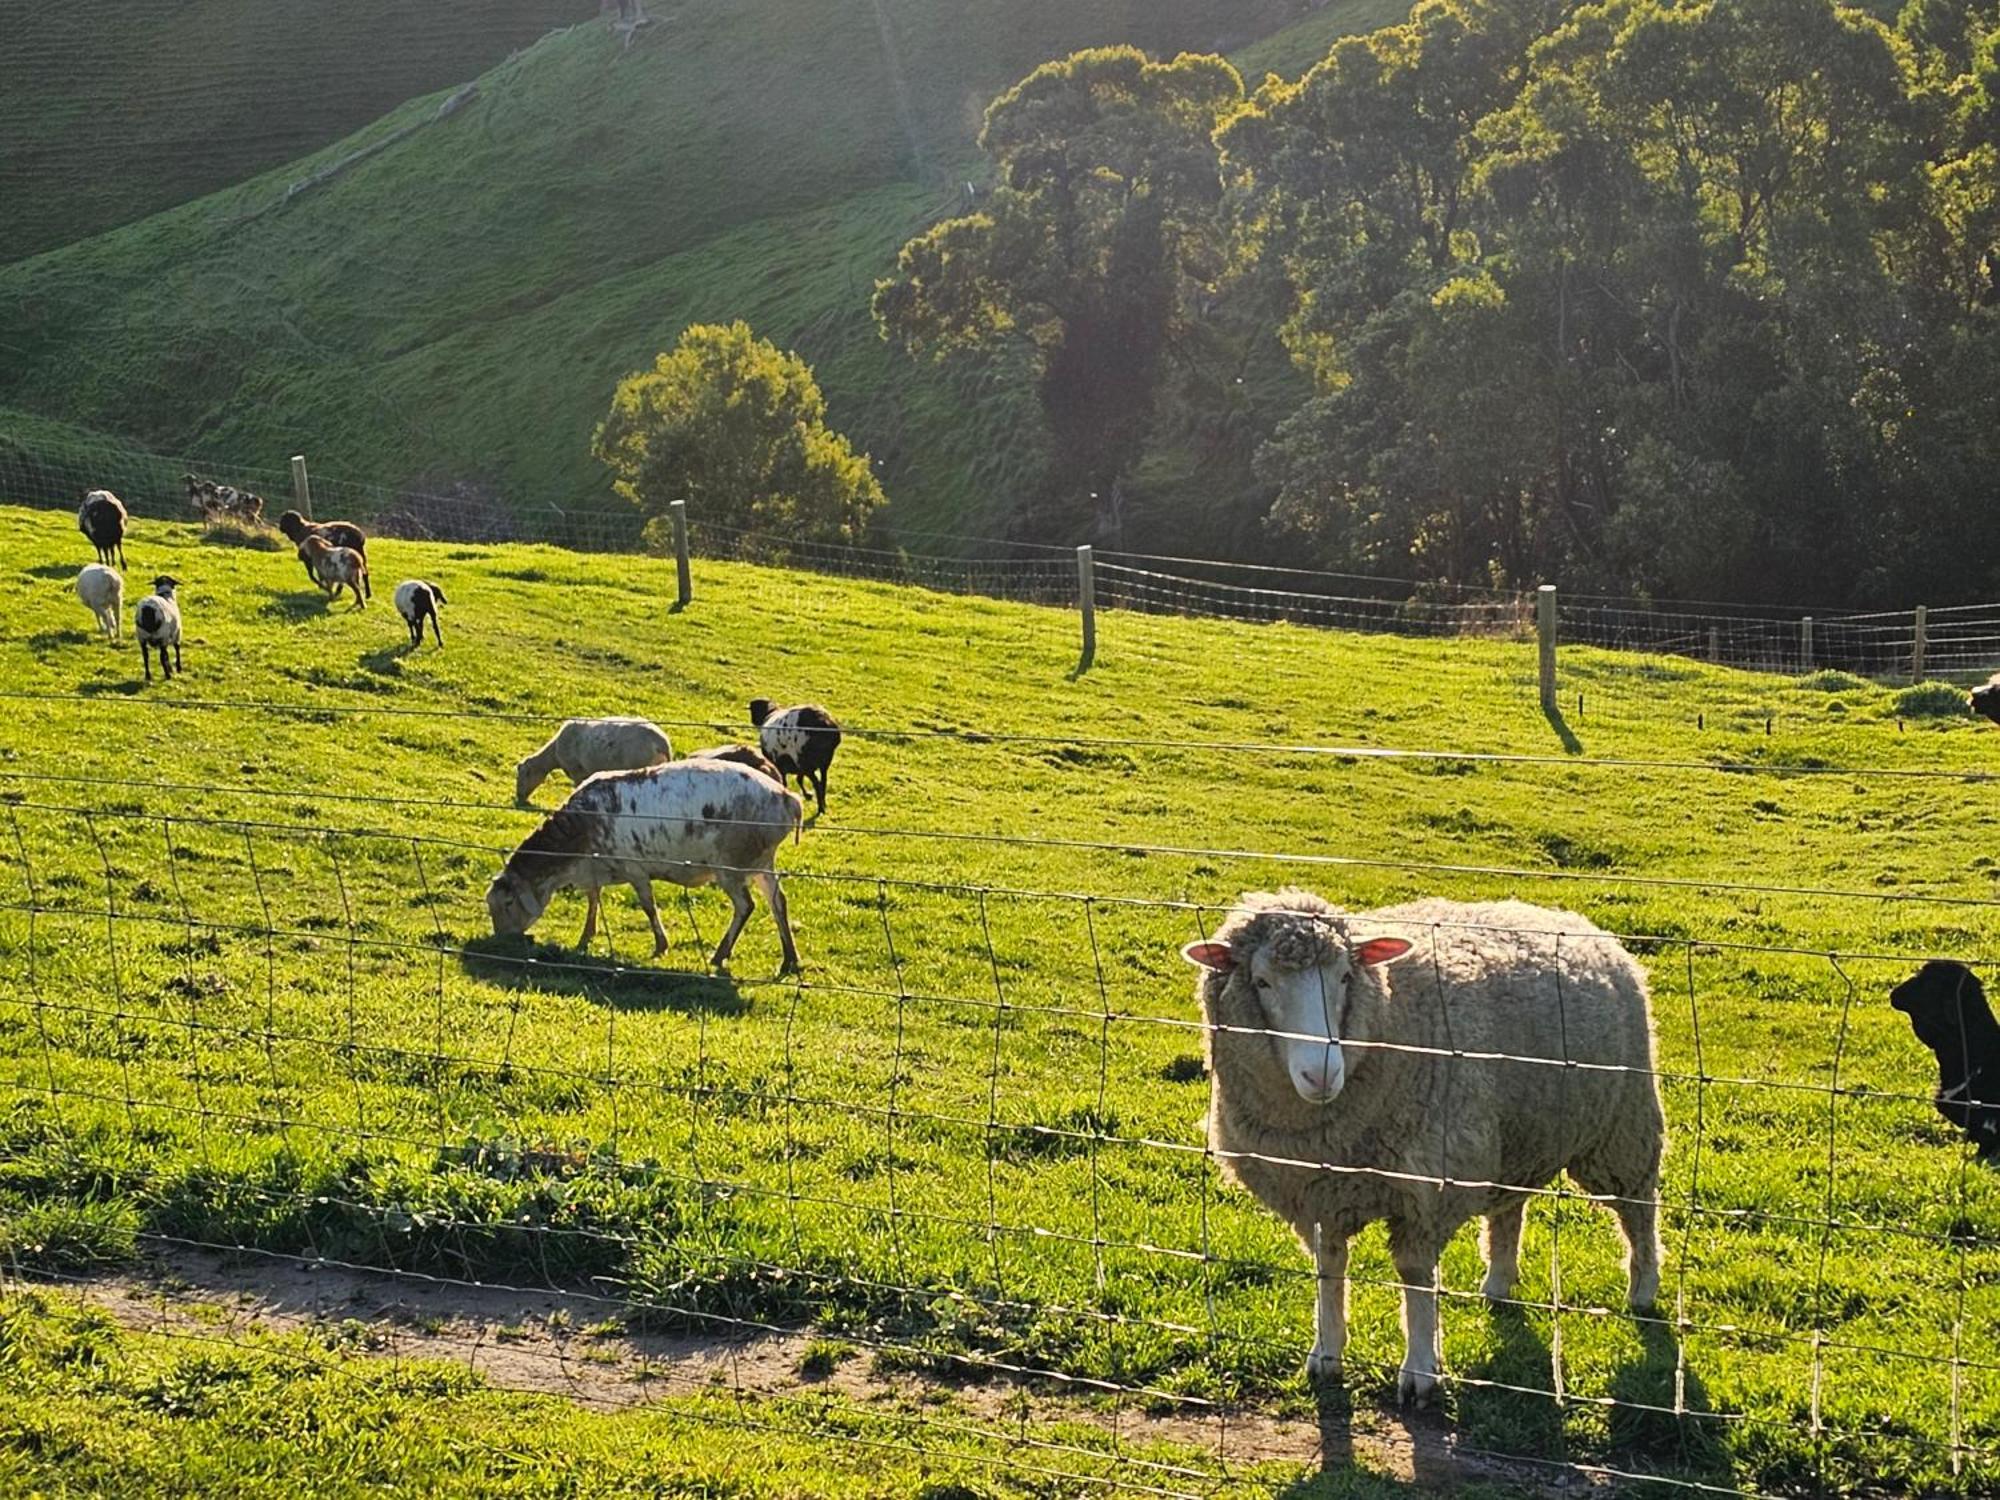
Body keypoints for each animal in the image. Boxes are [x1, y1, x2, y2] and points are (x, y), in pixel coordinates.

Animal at [482, 764, 796, 976]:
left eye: (508, 903)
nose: (500, 941)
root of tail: (787, 798)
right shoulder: (594, 869)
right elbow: (593, 899)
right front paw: (585, 937)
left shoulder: (635, 868)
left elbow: (648, 906)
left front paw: (660, 946)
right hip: (762, 862)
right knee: (778, 902)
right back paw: (790, 960)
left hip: (731, 864)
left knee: (746, 906)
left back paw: (720, 955)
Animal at [1176, 888, 1664, 1408]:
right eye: (1262, 982)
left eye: (1345, 977)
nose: (1321, 1074)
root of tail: (1564, 916)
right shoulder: (1316, 1189)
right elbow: (1329, 1267)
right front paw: (1326, 1353)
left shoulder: (1429, 1184)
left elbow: (1414, 1275)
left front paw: (1420, 1370)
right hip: (1513, 1134)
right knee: (1509, 1209)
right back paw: (1498, 1282)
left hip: (1623, 1127)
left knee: (1638, 1210)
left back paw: (1643, 1290)